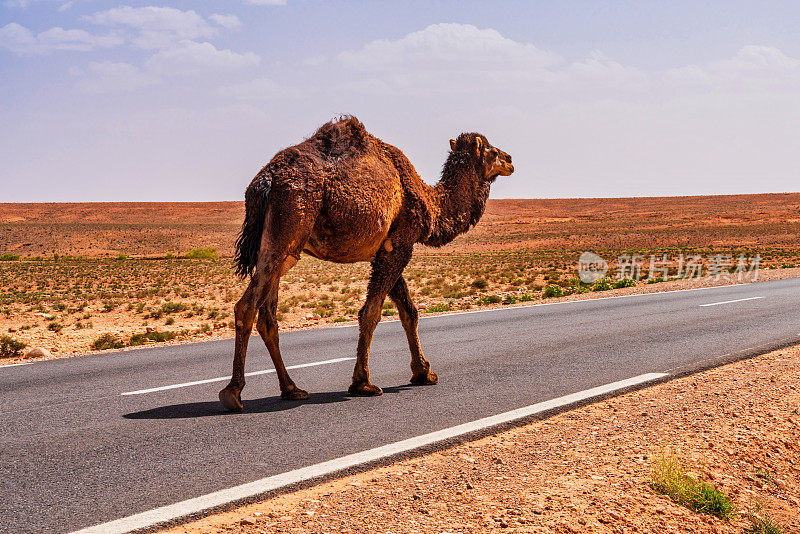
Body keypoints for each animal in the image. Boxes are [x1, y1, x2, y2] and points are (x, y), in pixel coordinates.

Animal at [219, 115, 512, 412]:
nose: (511, 160)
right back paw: (233, 392)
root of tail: (265, 181)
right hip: (291, 219)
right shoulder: (401, 244)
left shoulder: (385, 249)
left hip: (279, 246)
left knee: (268, 316)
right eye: (492, 151)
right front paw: (363, 383)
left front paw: (424, 372)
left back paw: (292, 389)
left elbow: (409, 311)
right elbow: (371, 313)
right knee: (246, 306)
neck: (430, 202)